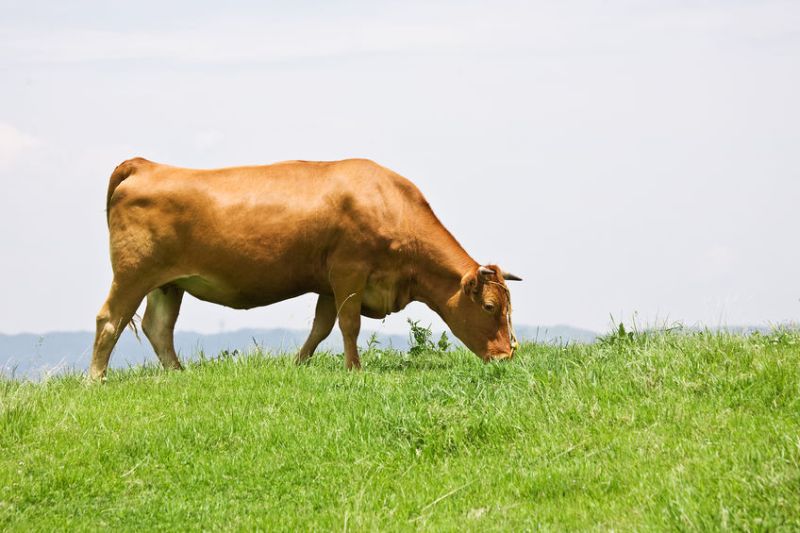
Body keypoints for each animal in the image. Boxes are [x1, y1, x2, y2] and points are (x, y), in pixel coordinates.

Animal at [90, 156, 520, 380]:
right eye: (489, 307)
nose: (505, 357)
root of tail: (146, 165)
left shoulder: (329, 284)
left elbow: (322, 327)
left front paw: (299, 364)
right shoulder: (349, 270)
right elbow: (349, 324)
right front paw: (354, 369)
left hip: (169, 283)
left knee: (158, 327)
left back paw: (179, 374)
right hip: (133, 273)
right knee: (110, 320)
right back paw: (97, 379)